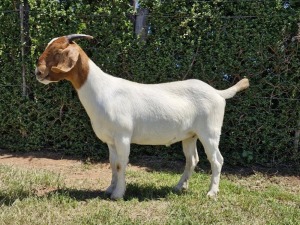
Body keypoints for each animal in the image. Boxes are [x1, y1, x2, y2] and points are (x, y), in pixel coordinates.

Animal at [35, 34, 250, 200]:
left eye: (57, 51)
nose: (38, 72)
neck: (103, 90)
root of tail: (218, 93)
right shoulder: (110, 140)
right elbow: (112, 164)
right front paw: (109, 189)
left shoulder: (122, 136)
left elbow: (121, 164)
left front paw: (118, 194)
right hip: (190, 135)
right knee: (192, 160)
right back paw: (179, 187)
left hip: (210, 132)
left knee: (217, 160)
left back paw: (211, 193)